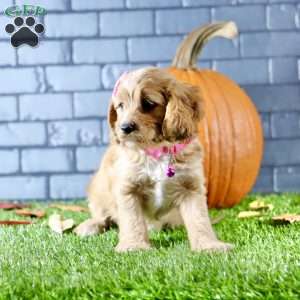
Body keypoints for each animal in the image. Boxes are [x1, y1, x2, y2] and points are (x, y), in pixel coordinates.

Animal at [74, 67, 232, 252]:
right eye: (120, 106)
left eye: (148, 103)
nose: (125, 128)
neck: (156, 149)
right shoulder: (127, 189)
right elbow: (132, 220)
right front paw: (134, 246)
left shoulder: (191, 187)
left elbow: (199, 219)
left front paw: (208, 245)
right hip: (98, 188)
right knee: (102, 213)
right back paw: (90, 225)